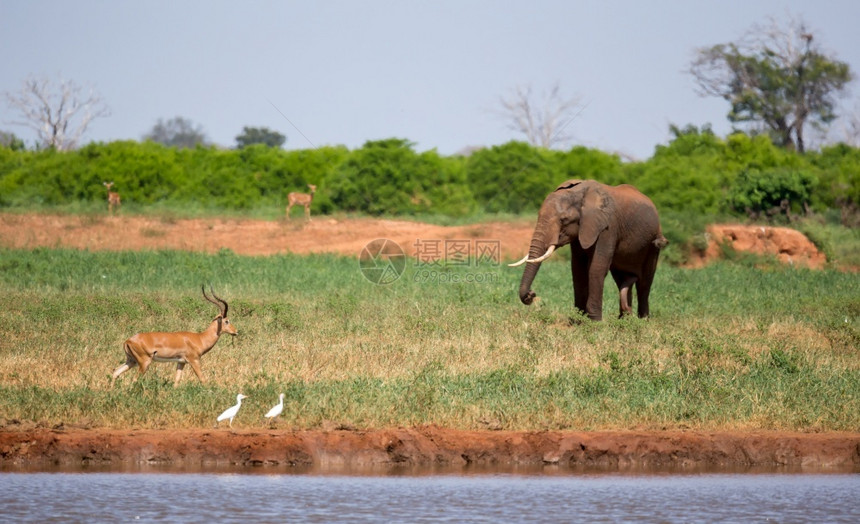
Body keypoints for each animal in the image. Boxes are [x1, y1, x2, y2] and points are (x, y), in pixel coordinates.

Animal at [111, 284, 239, 386]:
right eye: (227, 321)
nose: (236, 331)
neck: (200, 338)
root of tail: (128, 341)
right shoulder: (194, 360)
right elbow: (203, 379)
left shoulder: (181, 362)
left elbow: (176, 381)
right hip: (144, 362)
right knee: (134, 379)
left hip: (131, 361)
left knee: (115, 372)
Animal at [508, 179, 668, 320]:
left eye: (564, 220)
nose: (531, 294)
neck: (580, 195)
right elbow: (578, 269)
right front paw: (578, 319)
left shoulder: (607, 228)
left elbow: (596, 268)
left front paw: (594, 322)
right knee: (622, 279)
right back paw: (625, 319)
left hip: (653, 244)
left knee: (645, 282)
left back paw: (642, 320)